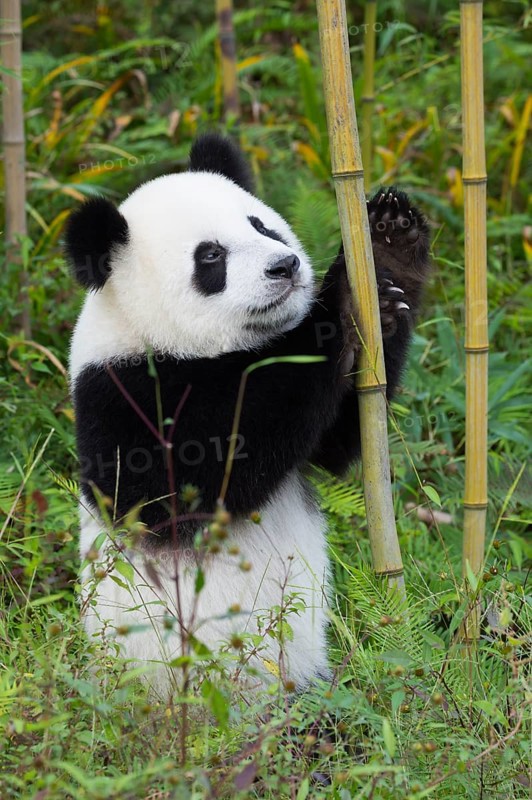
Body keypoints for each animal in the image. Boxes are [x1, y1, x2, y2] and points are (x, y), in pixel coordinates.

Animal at [65, 133, 430, 696]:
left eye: (261, 225)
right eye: (211, 256)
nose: (286, 266)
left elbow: (332, 444)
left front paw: (388, 244)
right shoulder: (116, 393)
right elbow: (191, 482)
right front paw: (342, 300)